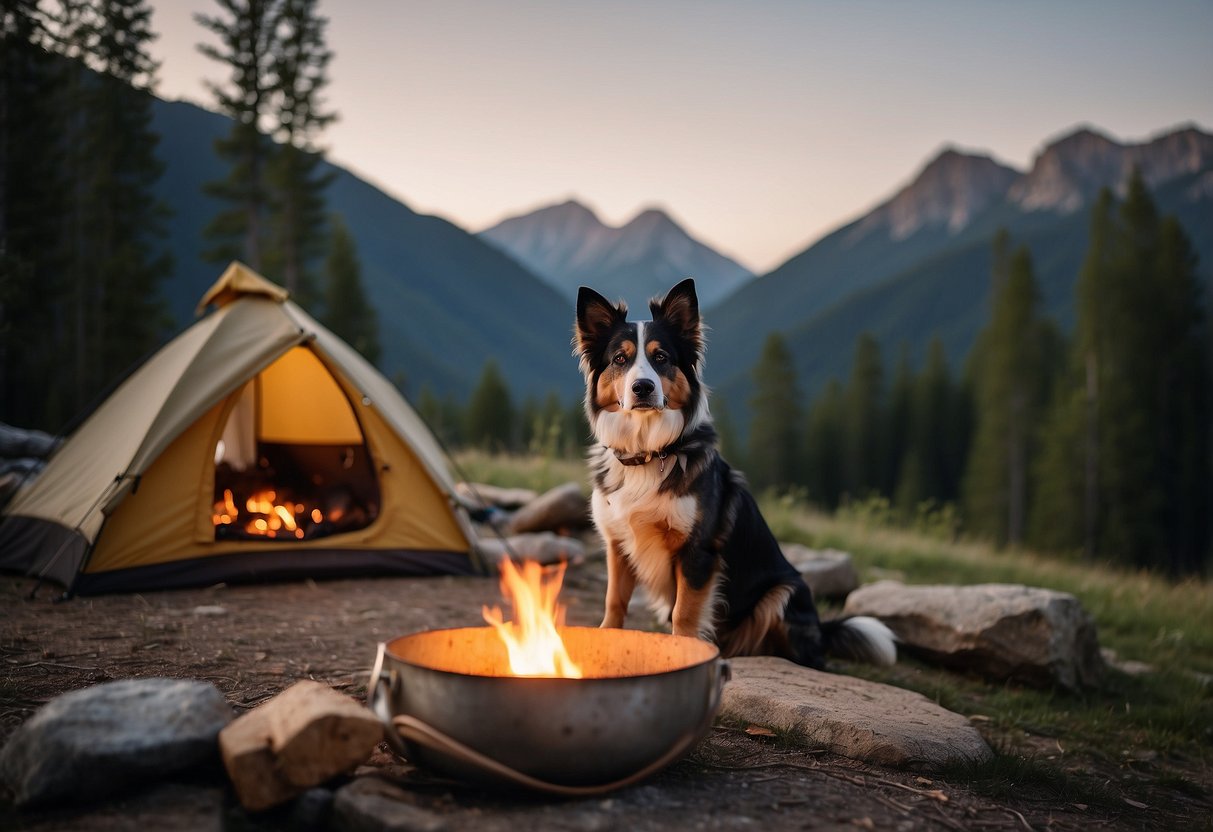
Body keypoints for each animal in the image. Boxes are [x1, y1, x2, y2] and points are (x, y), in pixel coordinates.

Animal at [572, 280, 897, 669]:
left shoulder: (698, 551)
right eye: (620, 360)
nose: (643, 388)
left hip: (784, 592)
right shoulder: (618, 542)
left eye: (661, 357)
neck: (650, 451)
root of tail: (821, 628)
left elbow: (684, 614)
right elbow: (615, 601)